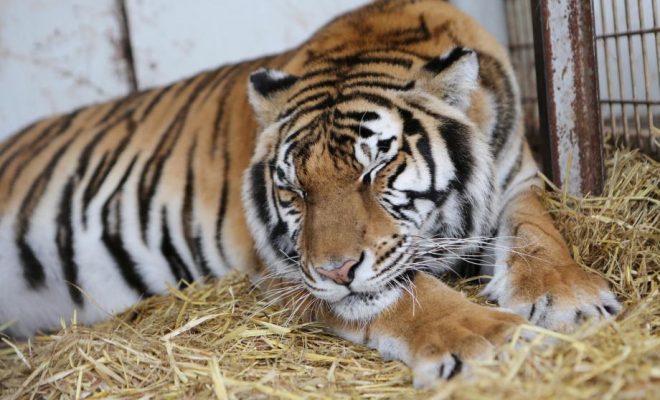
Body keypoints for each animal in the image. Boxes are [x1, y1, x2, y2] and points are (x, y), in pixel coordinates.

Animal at [0, 0, 620, 387]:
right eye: (293, 188)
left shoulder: (517, 180)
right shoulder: (283, 265)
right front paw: (490, 340)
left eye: (377, 169)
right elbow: (411, 295)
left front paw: (569, 296)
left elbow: (537, 234)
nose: (335, 271)